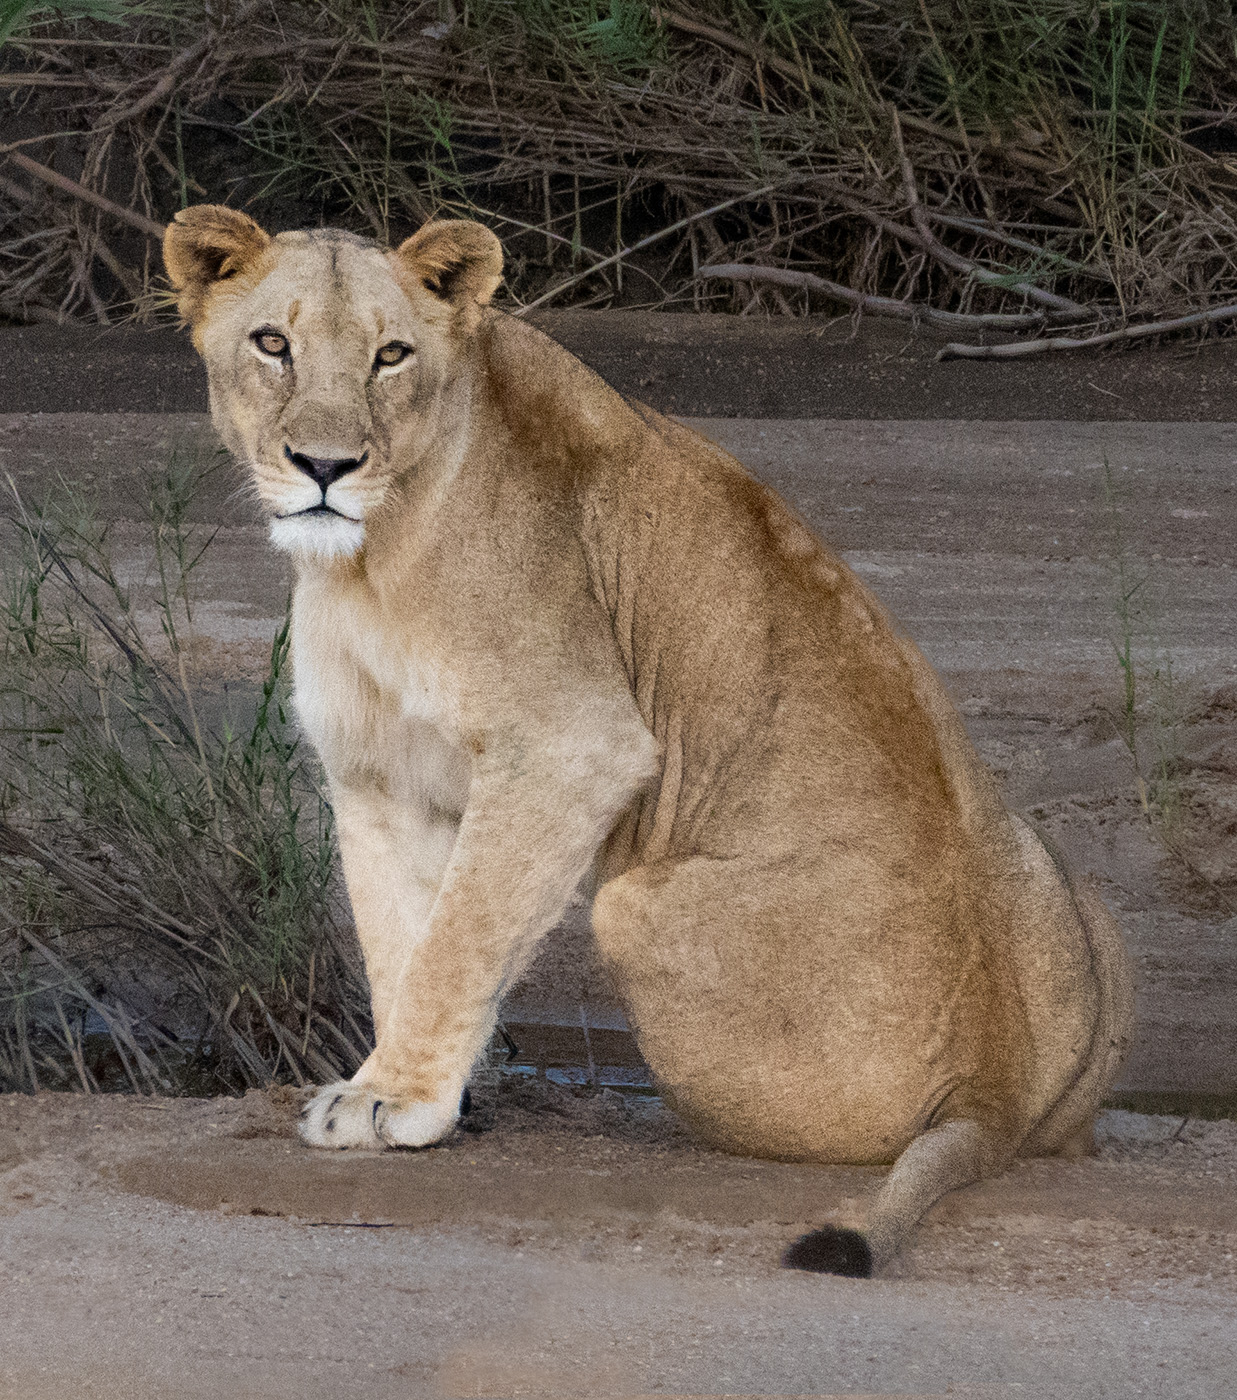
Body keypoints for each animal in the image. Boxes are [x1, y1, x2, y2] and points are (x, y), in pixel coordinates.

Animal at [163, 205, 1133, 1276]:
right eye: (272, 344)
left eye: (390, 356)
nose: (325, 469)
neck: (366, 560)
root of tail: (991, 1086)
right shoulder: (377, 773)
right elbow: (399, 941)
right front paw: (429, 1095)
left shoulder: (570, 742)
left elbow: (460, 935)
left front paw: (390, 1099)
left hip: (635, 909)